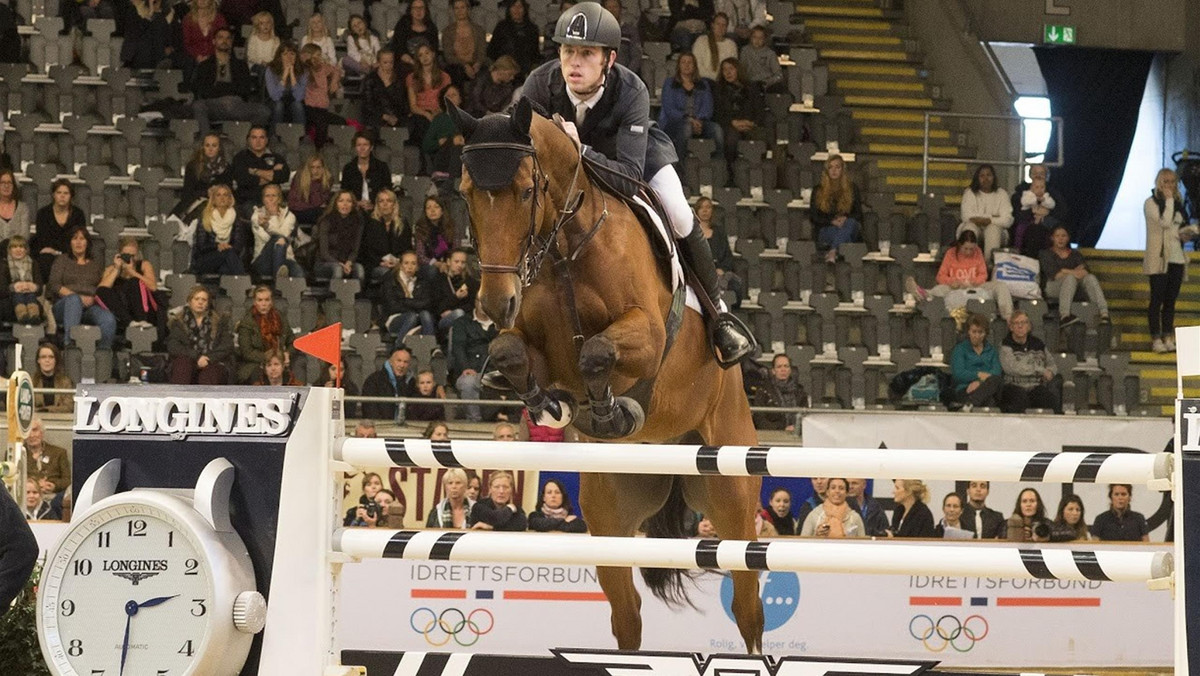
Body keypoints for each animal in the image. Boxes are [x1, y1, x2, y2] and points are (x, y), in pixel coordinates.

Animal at [446, 97, 763, 653]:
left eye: (526, 190)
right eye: (466, 194)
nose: (494, 303)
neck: (564, 249)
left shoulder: (648, 336)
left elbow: (596, 352)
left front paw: (612, 410)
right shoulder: (533, 343)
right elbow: (509, 350)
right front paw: (553, 406)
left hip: (733, 498)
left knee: (748, 608)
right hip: (608, 515)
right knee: (627, 613)